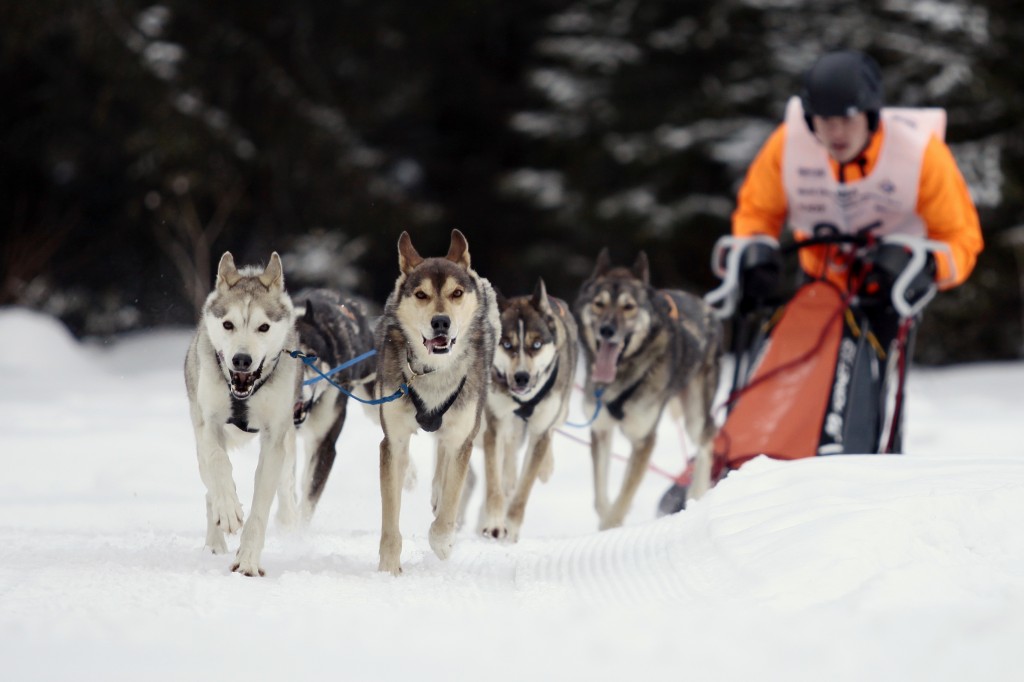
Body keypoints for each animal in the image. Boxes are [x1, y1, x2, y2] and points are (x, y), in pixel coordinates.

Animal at [184, 249, 299, 573]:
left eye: (264, 327)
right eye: (228, 324)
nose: (241, 360)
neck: (242, 396)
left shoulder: (274, 438)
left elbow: (261, 506)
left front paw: (247, 561)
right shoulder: (209, 425)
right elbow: (219, 464)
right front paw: (229, 510)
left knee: (287, 483)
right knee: (209, 487)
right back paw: (215, 539)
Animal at [282, 286, 378, 520]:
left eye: (311, 356)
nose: (296, 392)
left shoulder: (325, 443)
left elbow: (309, 496)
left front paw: (297, 529)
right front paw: (286, 519)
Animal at [378, 228, 501, 573]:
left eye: (456, 293)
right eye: (421, 295)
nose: (441, 322)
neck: (433, 371)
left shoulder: (462, 438)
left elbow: (450, 503)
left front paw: (443, 543)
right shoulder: (394, 442)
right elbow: (390, 516)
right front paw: (388, 568)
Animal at [477, 278, 581, 540]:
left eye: (536, 344)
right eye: (506, 344)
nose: (521, 377)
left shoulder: (541, 429)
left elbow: (523, 491)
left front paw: (511, 529)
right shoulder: (495, 424)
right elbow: (494, 481)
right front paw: (495, 522)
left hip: (560, 412)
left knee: (551, 432)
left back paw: (545, 467)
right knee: (510, 451)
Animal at [573, 246, 724, 528]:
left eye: (628, 307)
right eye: (599, 304)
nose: (606, 330)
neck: (620, 377)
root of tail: (706, 307)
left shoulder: (644, 440)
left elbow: (622, 500)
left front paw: (612, 526)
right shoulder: (601, 430)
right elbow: (601, 499)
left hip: (695, 417)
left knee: (707, 441)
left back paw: (697, 492)